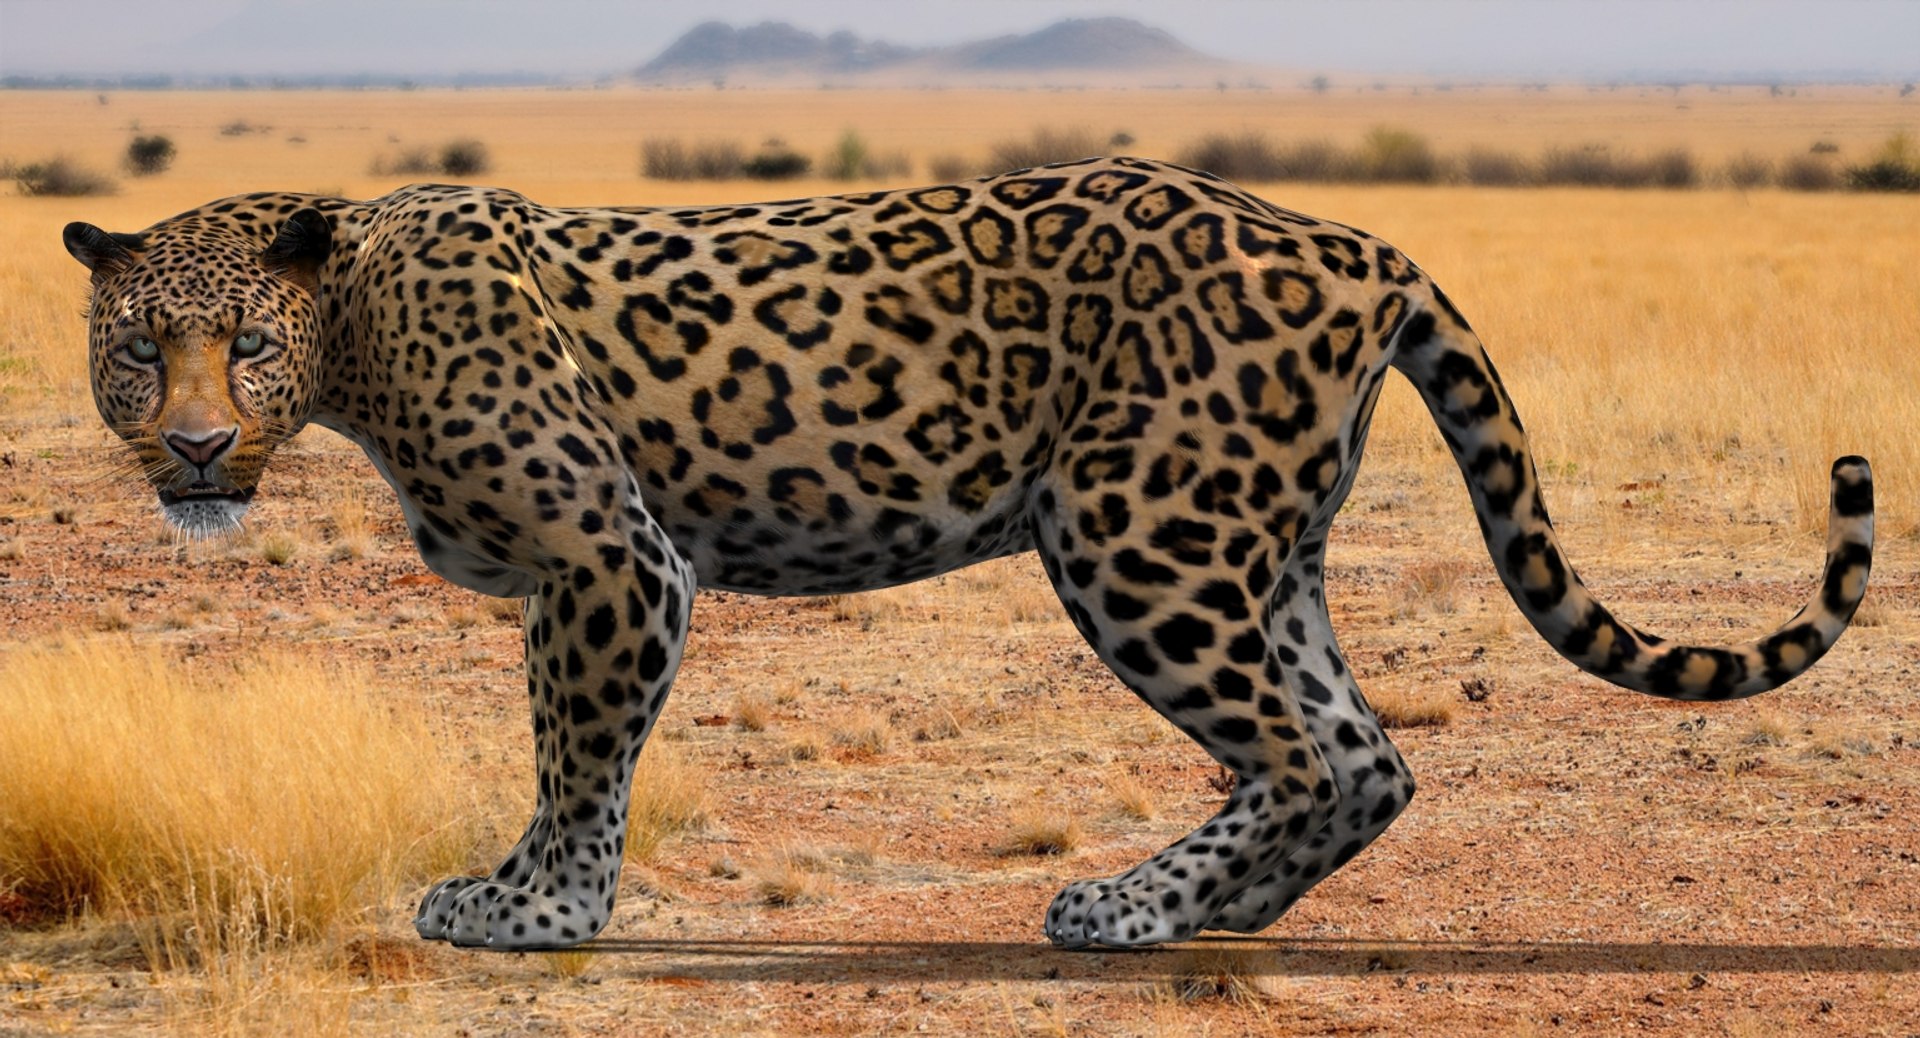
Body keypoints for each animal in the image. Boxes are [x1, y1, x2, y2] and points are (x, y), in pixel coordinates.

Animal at [63, 157, 1874, 951]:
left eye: (243, 343)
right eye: (142, 352)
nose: (199, 450)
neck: (355, 327)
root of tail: (1363, 241)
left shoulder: (614, 559)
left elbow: (577, 754)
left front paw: (538, 907)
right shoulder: (591, 574)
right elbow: (562, 744)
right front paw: (530, 894)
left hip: (1141, 530)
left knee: (1307, 748)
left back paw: (1132, 904)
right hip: (1251, 538)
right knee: (1360, 751)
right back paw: (1196, 910)